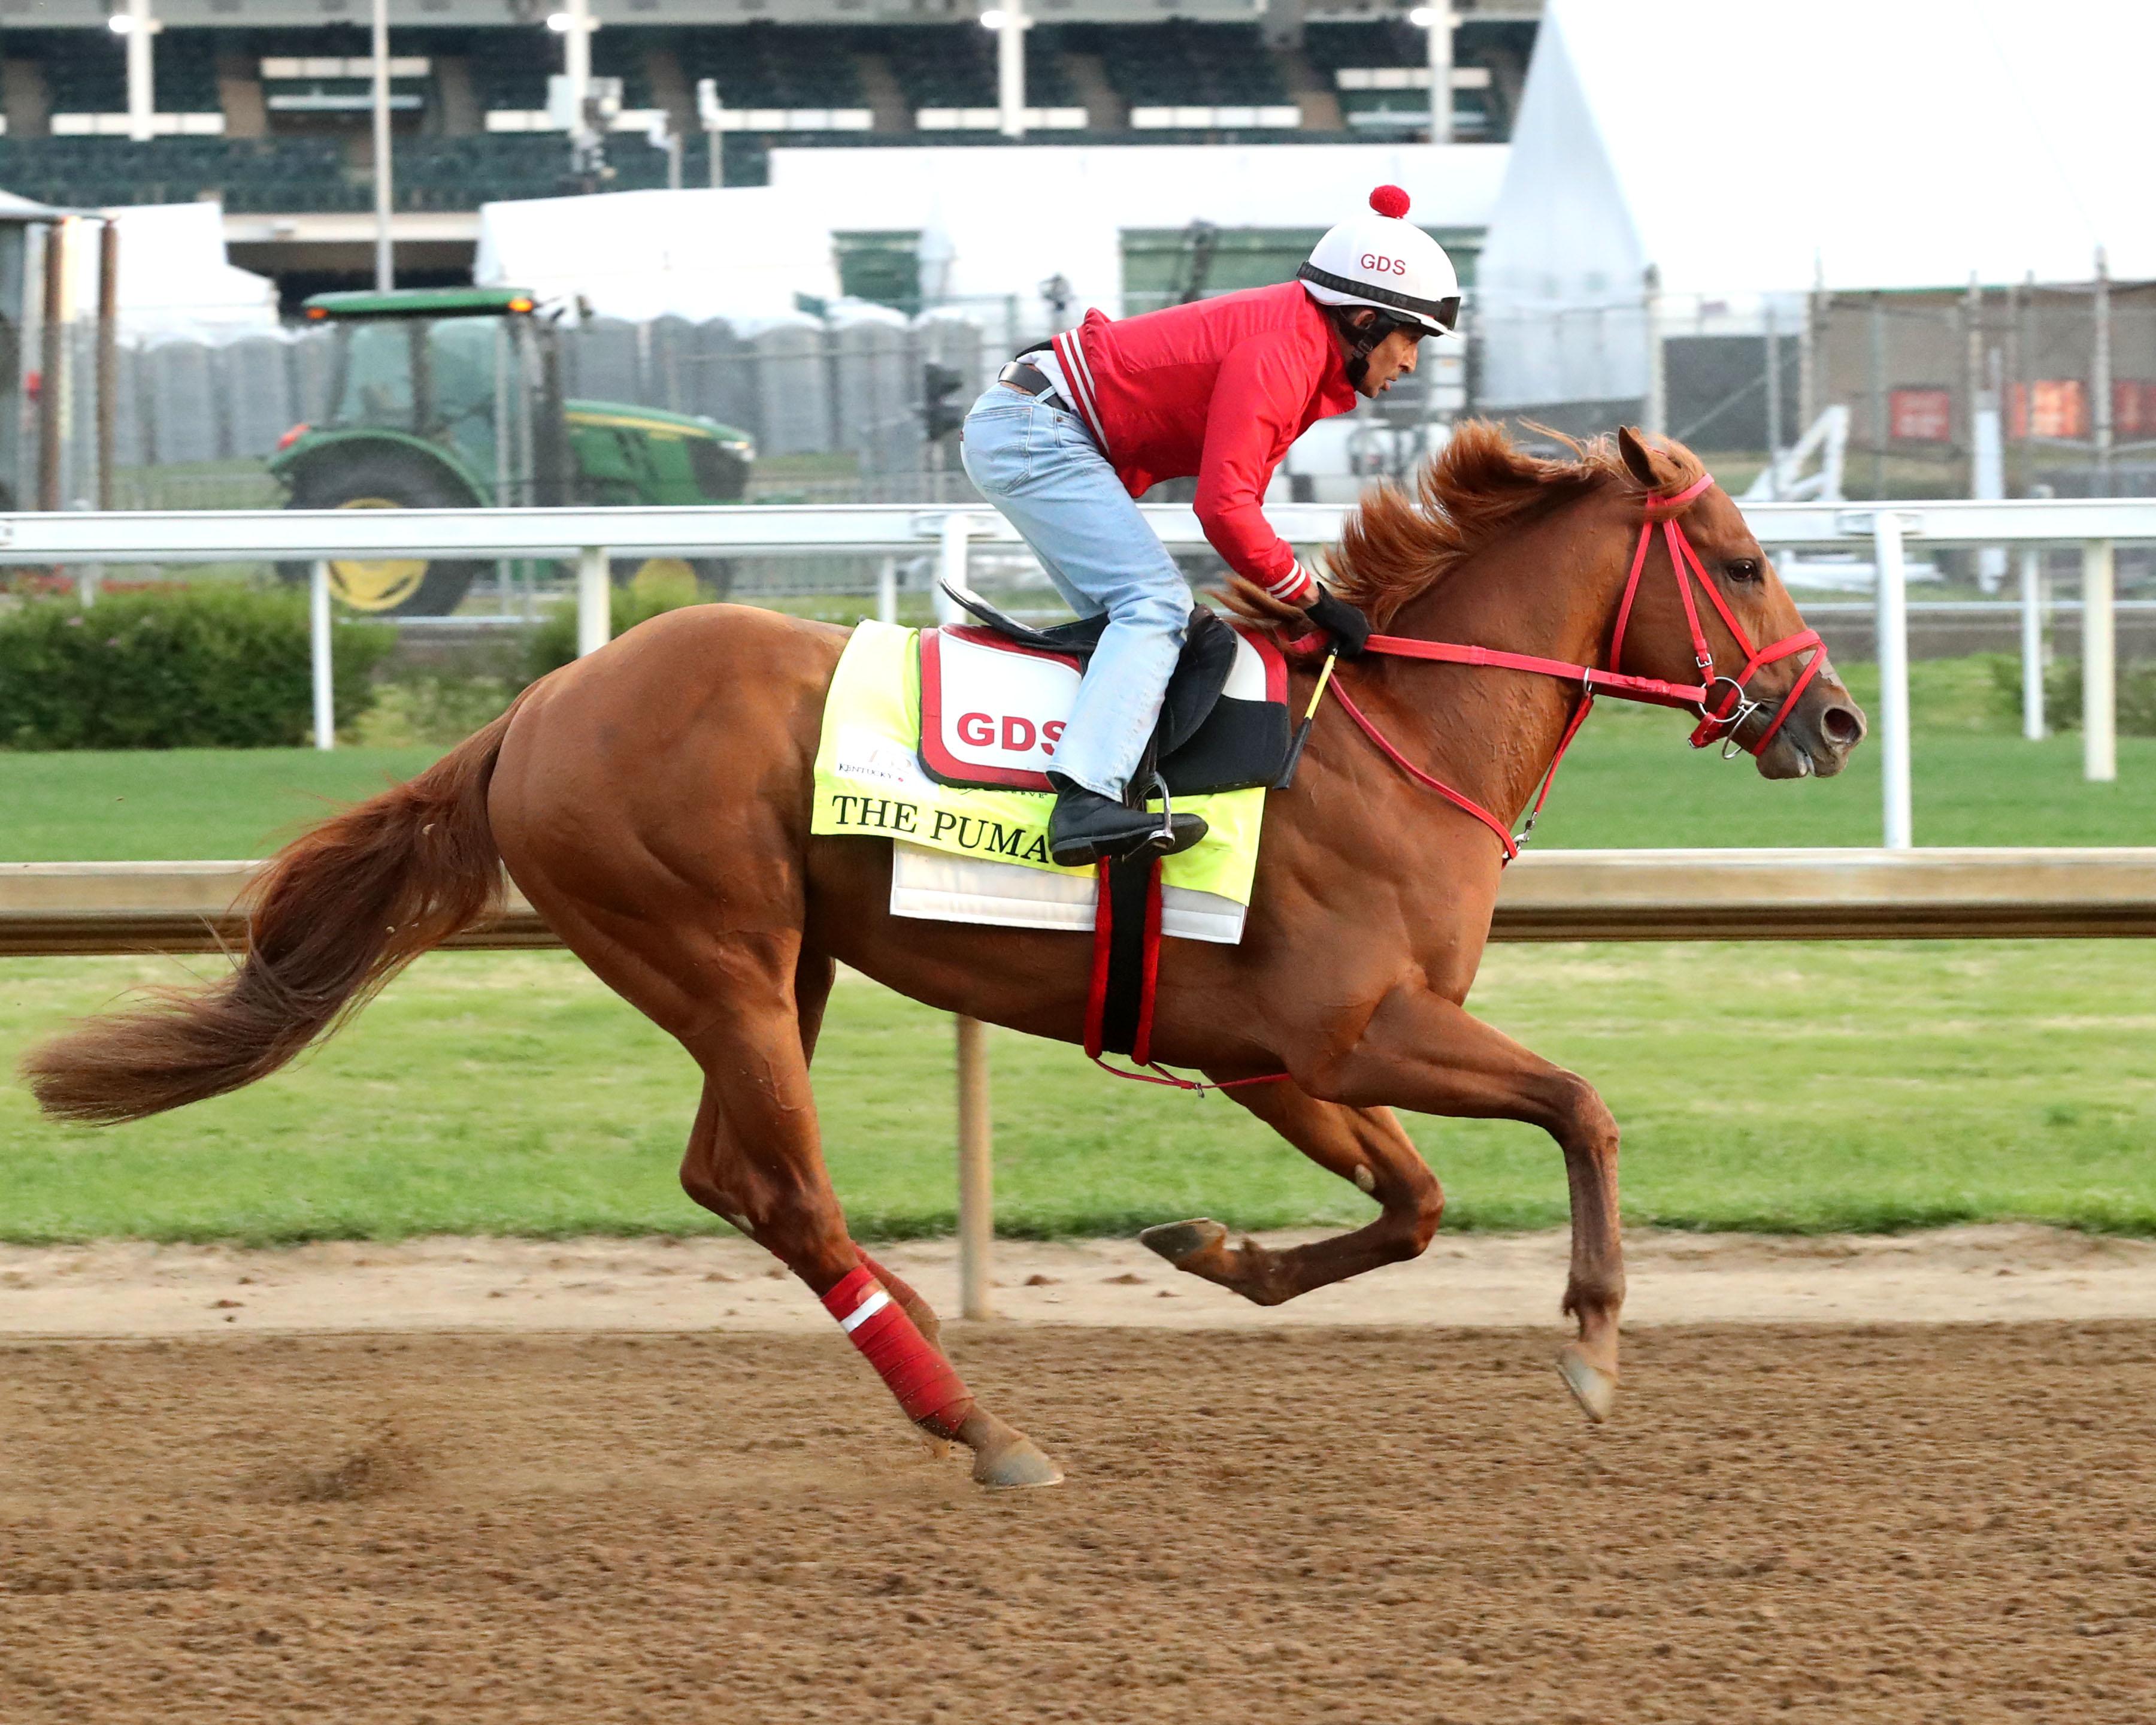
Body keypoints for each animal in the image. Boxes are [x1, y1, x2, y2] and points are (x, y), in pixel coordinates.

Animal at [23, 423, 1866, 1489]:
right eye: (1746, 559)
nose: (1834, 718)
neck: (1394, 728)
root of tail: (536, 707)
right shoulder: (1350, 1029)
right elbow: (1580, 1107)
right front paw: (1595, 1344)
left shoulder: (1273, 1056)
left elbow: (1409, 1205)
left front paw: (1213, 1251)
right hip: (716, 950)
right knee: (784, 1189)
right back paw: (977, 1424)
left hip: (780, 968)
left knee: (728, 1174)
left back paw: (935, 1362)